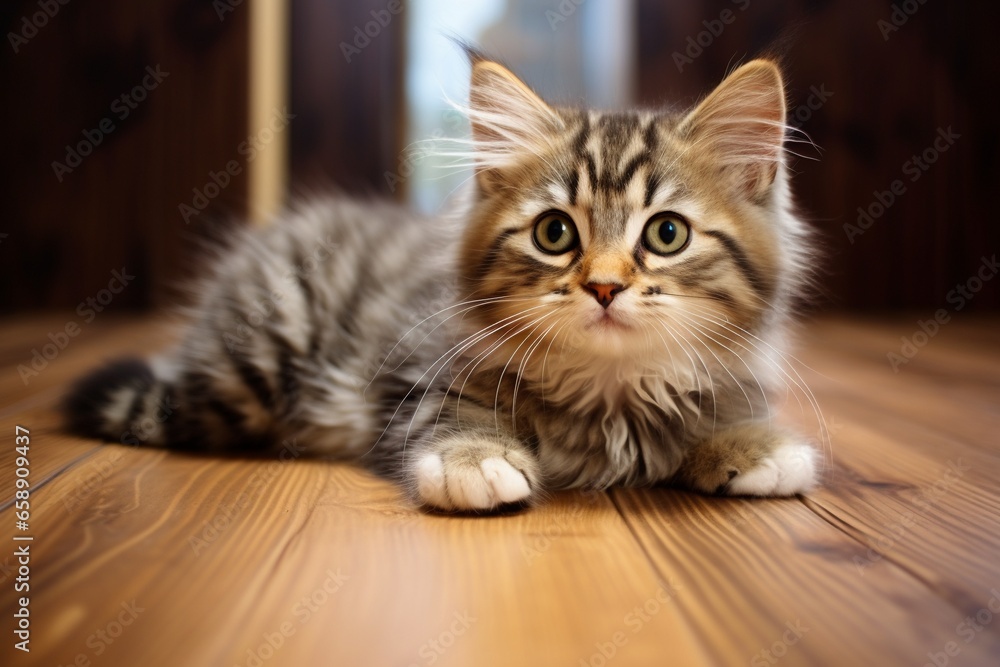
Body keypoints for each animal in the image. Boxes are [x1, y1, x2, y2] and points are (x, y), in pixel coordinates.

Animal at [66, 53, 824, 512]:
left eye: (667, 234)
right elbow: (451, 414)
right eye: (556, 233)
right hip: (251, 366)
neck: (608, 396)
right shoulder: (414, 377)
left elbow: (719, 411)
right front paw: (476, 459)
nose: (605, 287)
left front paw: (751, 443)